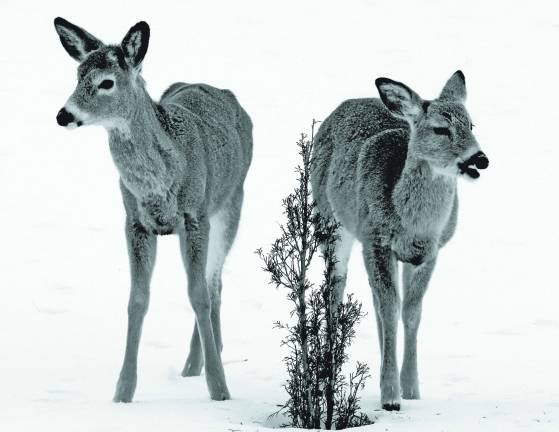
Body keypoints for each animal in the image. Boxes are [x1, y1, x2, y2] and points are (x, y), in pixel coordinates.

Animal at [53, 16, 253, 402]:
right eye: (77, 75)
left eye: (106, 82)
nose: (63, 114)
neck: (161, 182)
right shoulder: (135, 222)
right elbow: (137, 300)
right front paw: (123, 391)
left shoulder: (195, 217)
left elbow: (198, 295)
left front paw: (219, 389)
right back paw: (193, 365)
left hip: (231, 203)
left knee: (214, 282)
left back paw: (206, 359)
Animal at [310, 71, 490, 412]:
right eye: (441, 128)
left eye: (472, 125)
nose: (480, 158)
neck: (413, 225)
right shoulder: (377, 241)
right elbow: (390, 309)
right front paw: (391, 396)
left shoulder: (429, 253)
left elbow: (411, 312)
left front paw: (411, 388)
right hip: (332, 223)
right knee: (335, 289)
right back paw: (328, 366)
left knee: (376, 300)